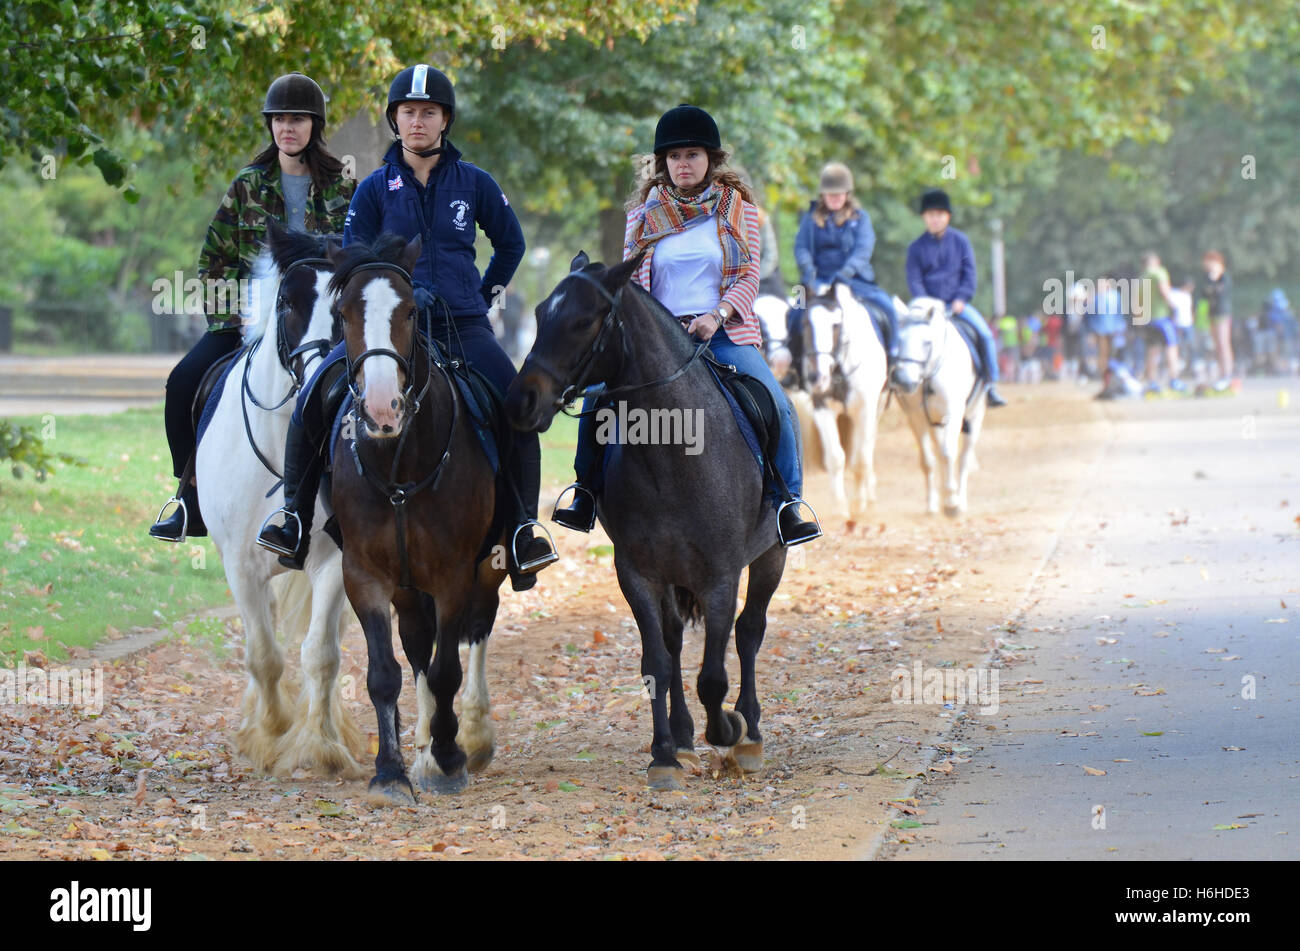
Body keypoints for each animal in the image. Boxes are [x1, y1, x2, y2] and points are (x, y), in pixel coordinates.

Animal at [189, 224, 361, 779]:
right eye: (287, 301)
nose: (320, 375)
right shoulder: (240, 564)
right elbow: (263, 656)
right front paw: (268, 733)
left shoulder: (335, 562)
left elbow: (321, 654)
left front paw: (322, 744)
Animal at [501, 250, 785, 789]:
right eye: (541, 314)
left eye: (584, 320)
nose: (522, 401)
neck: (672, 450)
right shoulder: (635, 572)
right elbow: (656, 661)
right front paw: (665, 755)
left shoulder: (720, 575)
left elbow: (713, 674)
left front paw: (729, 729)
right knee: (674, 642)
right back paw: (684, 736)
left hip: (772, 556)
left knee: (750, 630)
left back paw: (752, 733)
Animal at [800, 281, 894, 524]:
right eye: (806, 324)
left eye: (835, 325)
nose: (817, 378)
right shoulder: (822, 409)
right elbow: (835, 457)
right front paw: (840, 508)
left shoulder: (865, 411)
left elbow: (860, 459)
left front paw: (859, 505)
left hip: (875, 410)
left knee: (867, 448)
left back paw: (869, 496)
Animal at [889, 298, 987, 517]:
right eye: (899, 341)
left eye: (927, 342)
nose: (904, 381)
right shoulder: (917, 419)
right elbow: (928, 460)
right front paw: (933, 505)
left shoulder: (954, 414)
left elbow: (949, 453)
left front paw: (952, 503)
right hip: (935, 424)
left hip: (974, 417)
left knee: (963, 458)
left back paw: (960, 501)